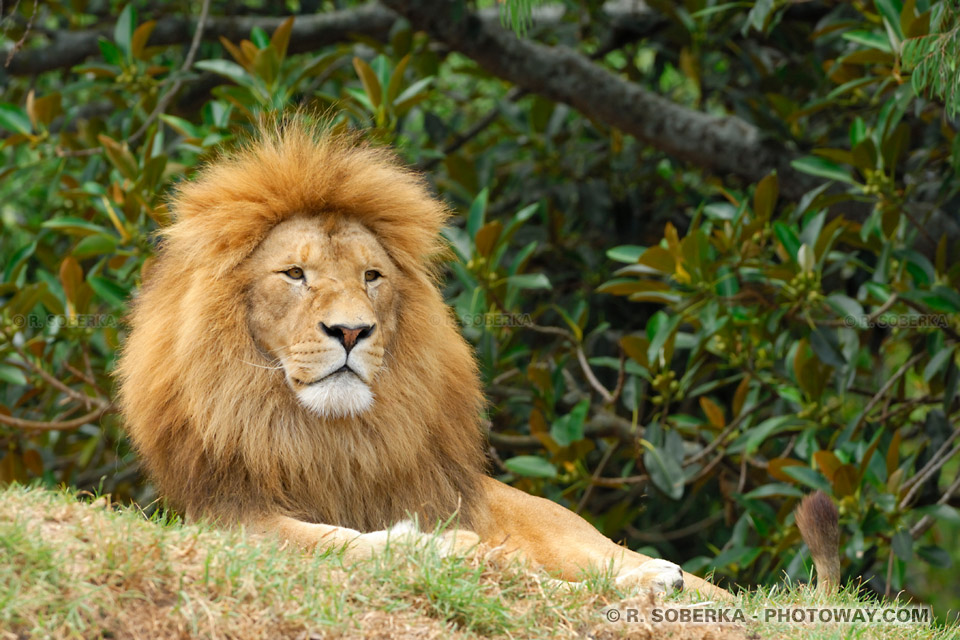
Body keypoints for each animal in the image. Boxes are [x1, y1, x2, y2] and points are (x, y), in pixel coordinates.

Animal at [116, 121, 744, 600]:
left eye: (372, 276)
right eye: (294, 273)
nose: (351, 330)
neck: (326, 434)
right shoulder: (231, 516)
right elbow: (331, 539)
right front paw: (429, 546)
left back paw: (655, 576)